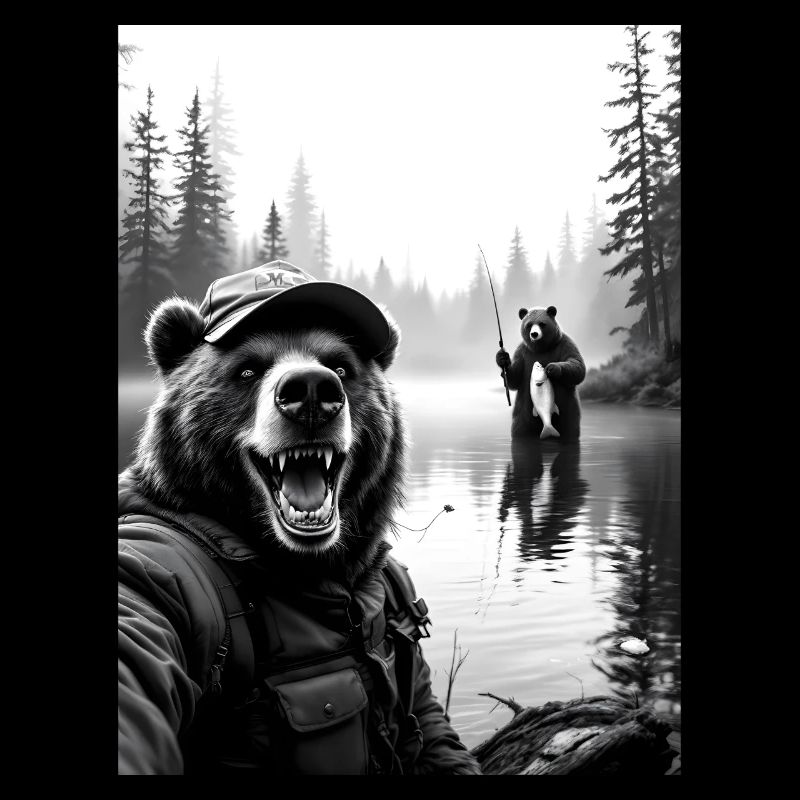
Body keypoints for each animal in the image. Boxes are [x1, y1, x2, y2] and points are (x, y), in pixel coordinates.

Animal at [495, 305, 586, 440]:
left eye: (542, 324)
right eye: (529, 324)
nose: (534, 334)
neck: (541, 348)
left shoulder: (565, 344)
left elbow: (577, 366)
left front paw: (553, 368)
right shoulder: (522, 352)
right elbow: (515, 377)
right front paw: (502, 358)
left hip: (569, 411)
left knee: (570, 429)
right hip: (522, 414)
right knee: (520, 429)